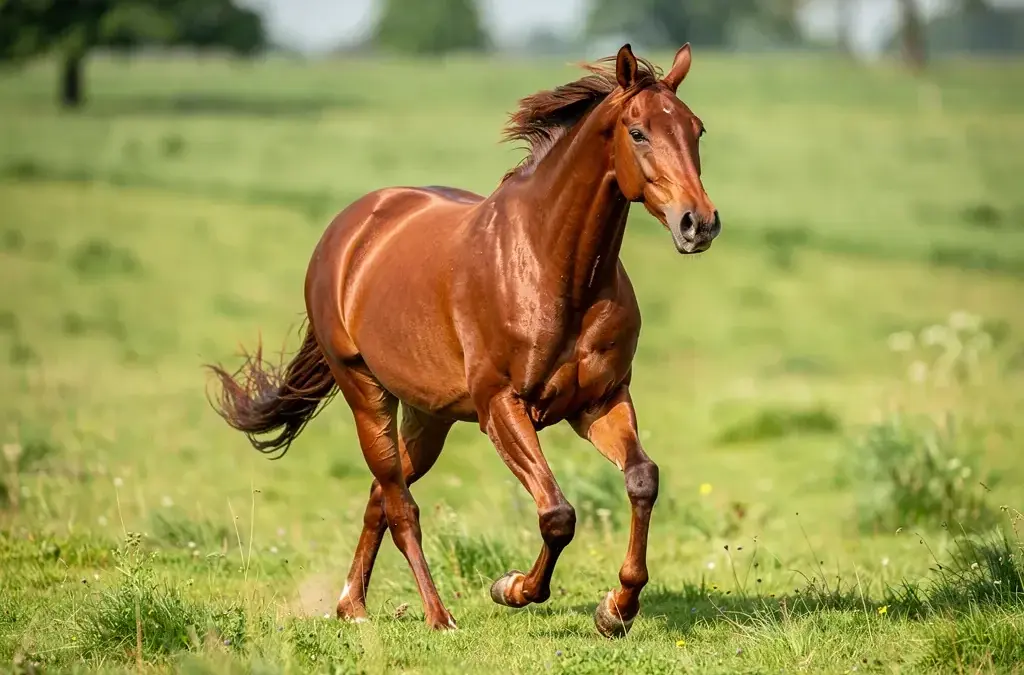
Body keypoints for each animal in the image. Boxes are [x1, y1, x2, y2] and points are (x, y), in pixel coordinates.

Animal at [208, 43, 720, 638]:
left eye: (696, 129)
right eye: (637, 132)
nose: (699, 223)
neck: (554, 266)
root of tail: (351, 228)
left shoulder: (600, 400)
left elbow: (641, 480)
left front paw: (617, 607)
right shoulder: (501, 405)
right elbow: (558, 514)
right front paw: (514, 588)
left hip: (429, 416)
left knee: (382, 494)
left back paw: (352, 605)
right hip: (366, 394)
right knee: (401, 505)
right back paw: (437, 616)